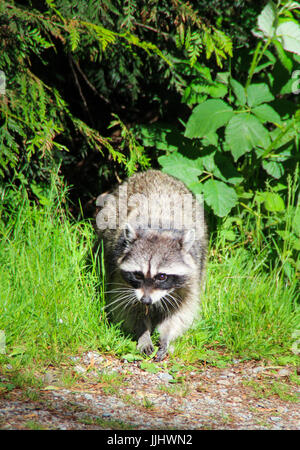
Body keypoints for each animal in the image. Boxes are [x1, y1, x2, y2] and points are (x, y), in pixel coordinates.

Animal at [95, 169, 207, 362]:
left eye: (161, 276)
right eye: (138, 275)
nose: (146, 301)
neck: (158, 229)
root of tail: (154, 172)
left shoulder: (190, 277)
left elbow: (181, 311)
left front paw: (166, 336)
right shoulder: (119, 275)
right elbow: (127, 308)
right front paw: (143, 334)